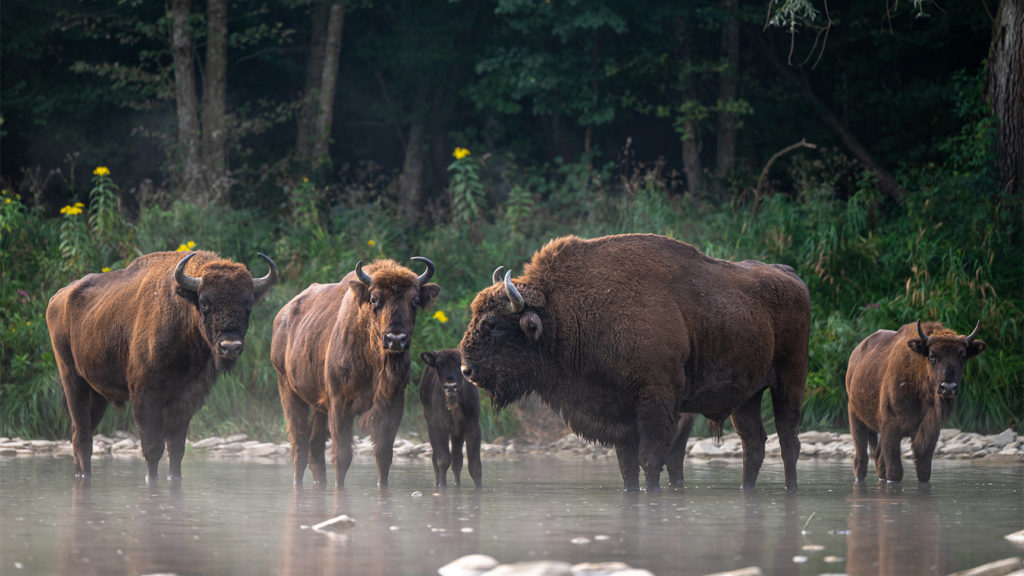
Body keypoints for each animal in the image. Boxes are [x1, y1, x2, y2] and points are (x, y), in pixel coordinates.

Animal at [46, 250, 278, 479]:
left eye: (248, 306)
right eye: (204, 303)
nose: (230, 347)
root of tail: (58, 297)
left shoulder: (187, 398)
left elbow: (176, 448)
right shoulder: (146, 396)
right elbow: (153, 447)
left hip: (97, 393)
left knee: (81, 434)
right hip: (72, 379)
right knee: (82, 434)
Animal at [270, 255, 438, 483]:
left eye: (415, 300)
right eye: (375, 299)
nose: (395, 339)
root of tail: (282, 317)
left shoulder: (392, 405)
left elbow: (383, 455)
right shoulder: (340, 404)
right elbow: (342, 456)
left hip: (319, 406)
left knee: (315, 449)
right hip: (288, 389)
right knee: (299, 445)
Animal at [417, 348, 481, 485]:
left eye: (461, 364)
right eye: (438, 365)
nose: (451, 386)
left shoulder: (473, 426)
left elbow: (474, 466)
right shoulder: (438, 427)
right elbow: (443, 460)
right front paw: (442, 486)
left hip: (457, 434)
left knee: (457, 461)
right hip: (432, 427)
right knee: (436, 457)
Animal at [460, 233, 811, 487]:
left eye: (494, 325)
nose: (466, 369)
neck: (563, 313)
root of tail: (792, 276)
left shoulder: (655, 401)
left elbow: (652, 460)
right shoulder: (619, 415)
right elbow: (627, 468)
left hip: (789, 381)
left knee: (788, 441)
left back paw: (791, 489)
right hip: (746, 397)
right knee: (754, 444)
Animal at [843, 317, 987, 479]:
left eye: (962, 356)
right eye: (932, 355)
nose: (948, 387)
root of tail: (856, 354)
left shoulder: (929, 431)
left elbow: (923, 470)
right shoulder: (890, 429)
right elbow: (895, 471)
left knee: (878, 459)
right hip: (855, 418)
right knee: (861, 459)